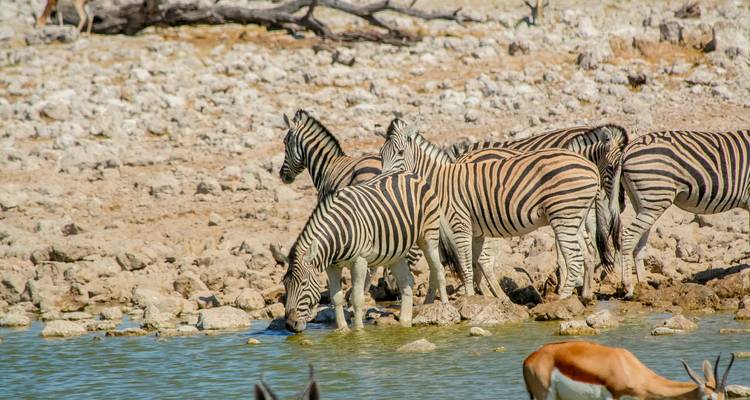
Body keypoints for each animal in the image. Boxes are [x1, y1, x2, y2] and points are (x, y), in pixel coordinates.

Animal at [282, 170, 459, 332]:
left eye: (304, 283)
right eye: (285, 283)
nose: (290, 325)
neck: (338, 234)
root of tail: (412, 174)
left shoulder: (359, 261)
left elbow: (357, 298)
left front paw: (359, 331)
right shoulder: (332, 266)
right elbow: (336, 298)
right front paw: (342, 330)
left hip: (429, 237)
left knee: (438, 270)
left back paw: (444, 307)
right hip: (396, 252)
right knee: (407, 281)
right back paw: (405, 322)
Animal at [379, 119, 609, 298]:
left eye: (400, 152)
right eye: (381, 154)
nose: (389, 288)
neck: (441, 181)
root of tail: (591, 167)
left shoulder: (460, 224)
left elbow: (466, 263)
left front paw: (470, 298)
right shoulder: (477, 230)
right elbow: (475, 262)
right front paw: (486, 297)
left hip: (564, 216)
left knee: (575, 257)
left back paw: (562, 298)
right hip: (575, 217)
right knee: (587, 252)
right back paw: (584, 295)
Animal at [614, 129, 750, 297]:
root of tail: (628, 149)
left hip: (643, 202)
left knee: (639, 242)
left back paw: (643, 285)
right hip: (656, 196)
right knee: (628, 236)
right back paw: (628, 287)